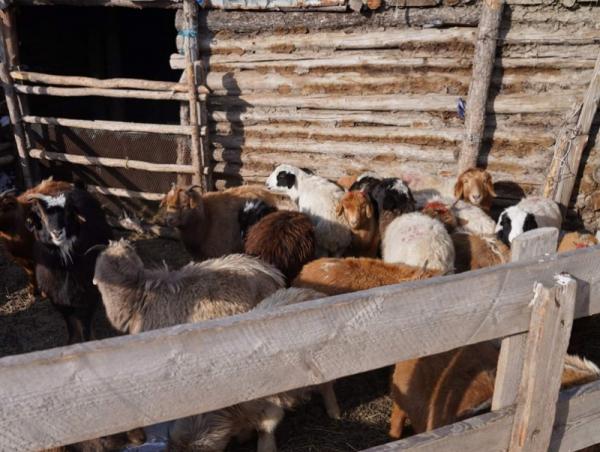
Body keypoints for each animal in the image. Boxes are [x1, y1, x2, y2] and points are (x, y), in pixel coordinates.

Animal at [26, 185, 112, 344]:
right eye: (41, 216)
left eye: (68, 213)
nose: (57, 232)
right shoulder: (58, 299)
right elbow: (70, 323)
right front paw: (71, 341)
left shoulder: (88, 296)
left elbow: (85, 323)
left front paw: (88, 340)